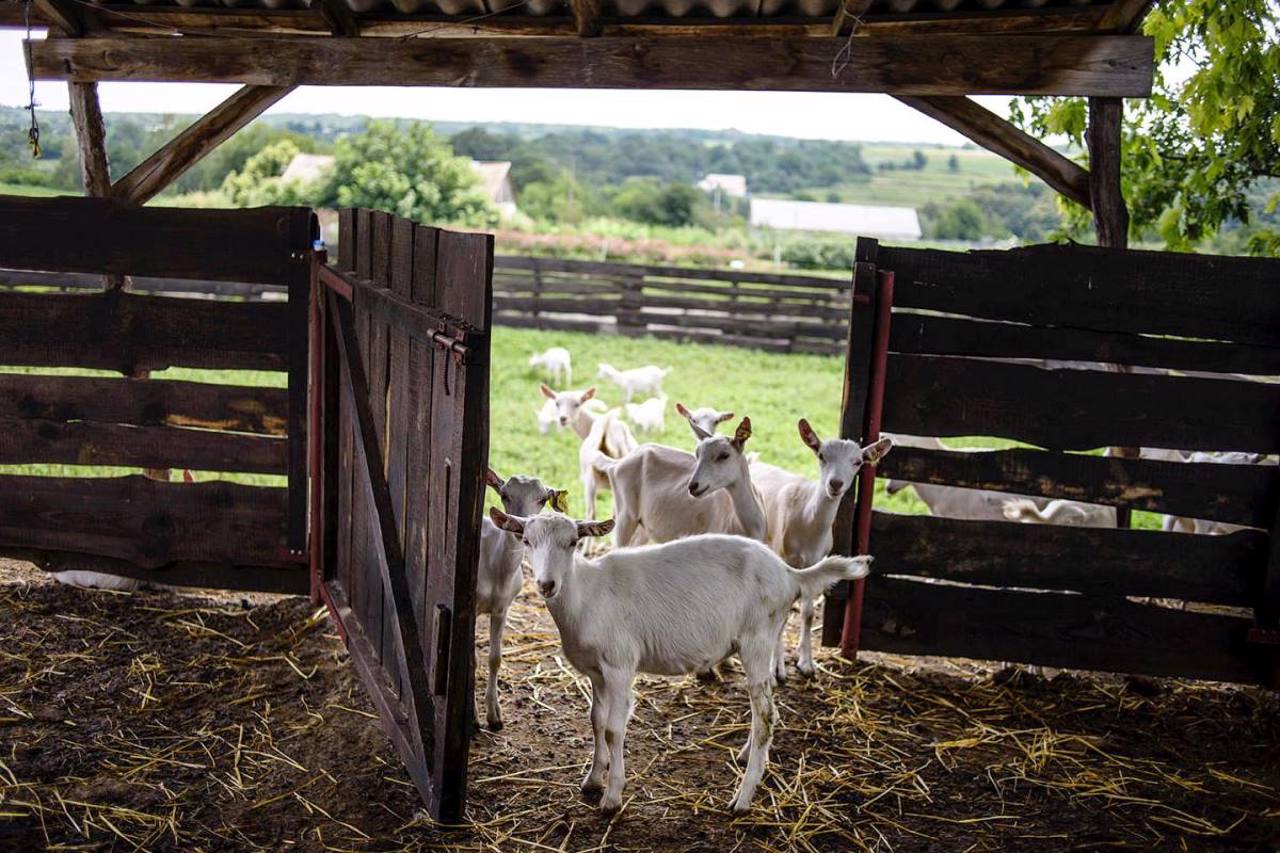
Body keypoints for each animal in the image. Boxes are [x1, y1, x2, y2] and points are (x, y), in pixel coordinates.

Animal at [476, 468, 565, 727]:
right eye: (504, 495)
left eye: (542, 499)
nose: (519, 527)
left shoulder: (502, 608)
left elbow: (494, 658)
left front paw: (494, 717)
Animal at [486, 504, 870, 809]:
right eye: (526, 541)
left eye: (572, 542)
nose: (546, 585)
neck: (584, 594)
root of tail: (789, 574)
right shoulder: (596, 672)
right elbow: (595, 721)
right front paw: (593, 779)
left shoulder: (620, 665)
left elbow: (612, 729)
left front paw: (612, 796)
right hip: (766, 639)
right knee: (765, 707)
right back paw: (749, 754)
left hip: (757, 639)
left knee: (765, 714)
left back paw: (743, 797)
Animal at [540, 384, 640, 517]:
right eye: (557, 403)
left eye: (577, 404)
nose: (563, 419)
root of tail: (606, 430)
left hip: (591, 482)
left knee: (592, 513)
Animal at [747, 417, 890, 676]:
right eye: (822, 455)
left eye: (857, 462)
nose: (835, 484)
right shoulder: (783, 557)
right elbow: (783, 614)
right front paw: (776, 667)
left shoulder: (815, 562)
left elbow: (808, 614)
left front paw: (806, 663)